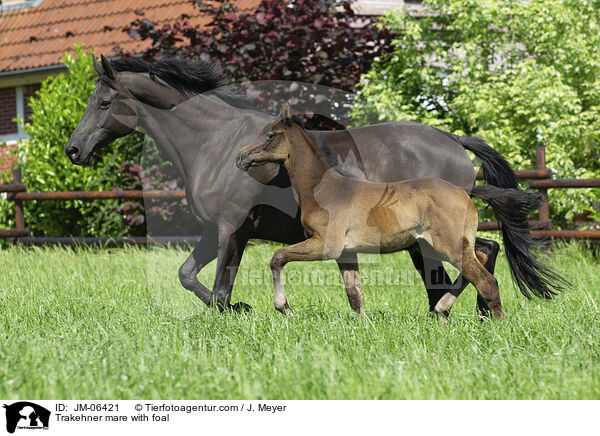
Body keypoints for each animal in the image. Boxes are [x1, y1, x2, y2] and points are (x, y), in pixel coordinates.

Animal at [237, 104, 504, 318]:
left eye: (270, 134)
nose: (241, 156)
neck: (323, 188)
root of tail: (465, 194)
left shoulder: (326, 244)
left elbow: (278, 257)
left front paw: (285, 308)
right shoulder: (346, 253)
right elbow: (354, 293)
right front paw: (363, 325)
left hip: (445, 244)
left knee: (486, 280)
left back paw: (495, 323)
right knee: (480, 260)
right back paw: (443, 307)